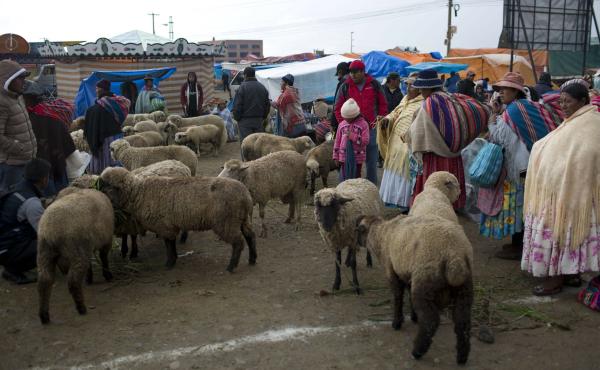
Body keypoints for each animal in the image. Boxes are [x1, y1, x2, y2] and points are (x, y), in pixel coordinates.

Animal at [36, 188, 115, 324]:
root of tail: (52, 230)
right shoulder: (106, 240)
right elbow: (104, 258)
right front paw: (107, 275)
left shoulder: (88, 247)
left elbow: (90, 264)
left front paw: (89, 278)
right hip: (77, 251)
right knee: (73, 282)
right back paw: (81, 308)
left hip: (44, 253)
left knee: (44, 283)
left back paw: (44, 316)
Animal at [99, 168, 258, 272]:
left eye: (106, 184)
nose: (97, 193)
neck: (139, 194)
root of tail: (245, 196)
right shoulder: (169, 226)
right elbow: (171, 243)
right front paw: (174, 259)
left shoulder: (164, 225)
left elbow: (168, 244)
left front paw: (169, 263)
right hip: (243, 219)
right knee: (250, 236)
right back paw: (252, 259)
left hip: (227, 222)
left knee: (238, 242)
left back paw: (231, 266)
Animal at [356, 214, 474, 364]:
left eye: (359, 230)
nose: (357, 244)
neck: (381, 235)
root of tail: (455, 256)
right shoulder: (407, 272)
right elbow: (408, 294)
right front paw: (414, 316)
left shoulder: (392, 271)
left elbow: (398, 297)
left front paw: (397, 323)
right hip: (464, 289)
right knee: (462, 321)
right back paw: (462, 357)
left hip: (424, 282)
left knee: (430, 321)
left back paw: (417, 351)